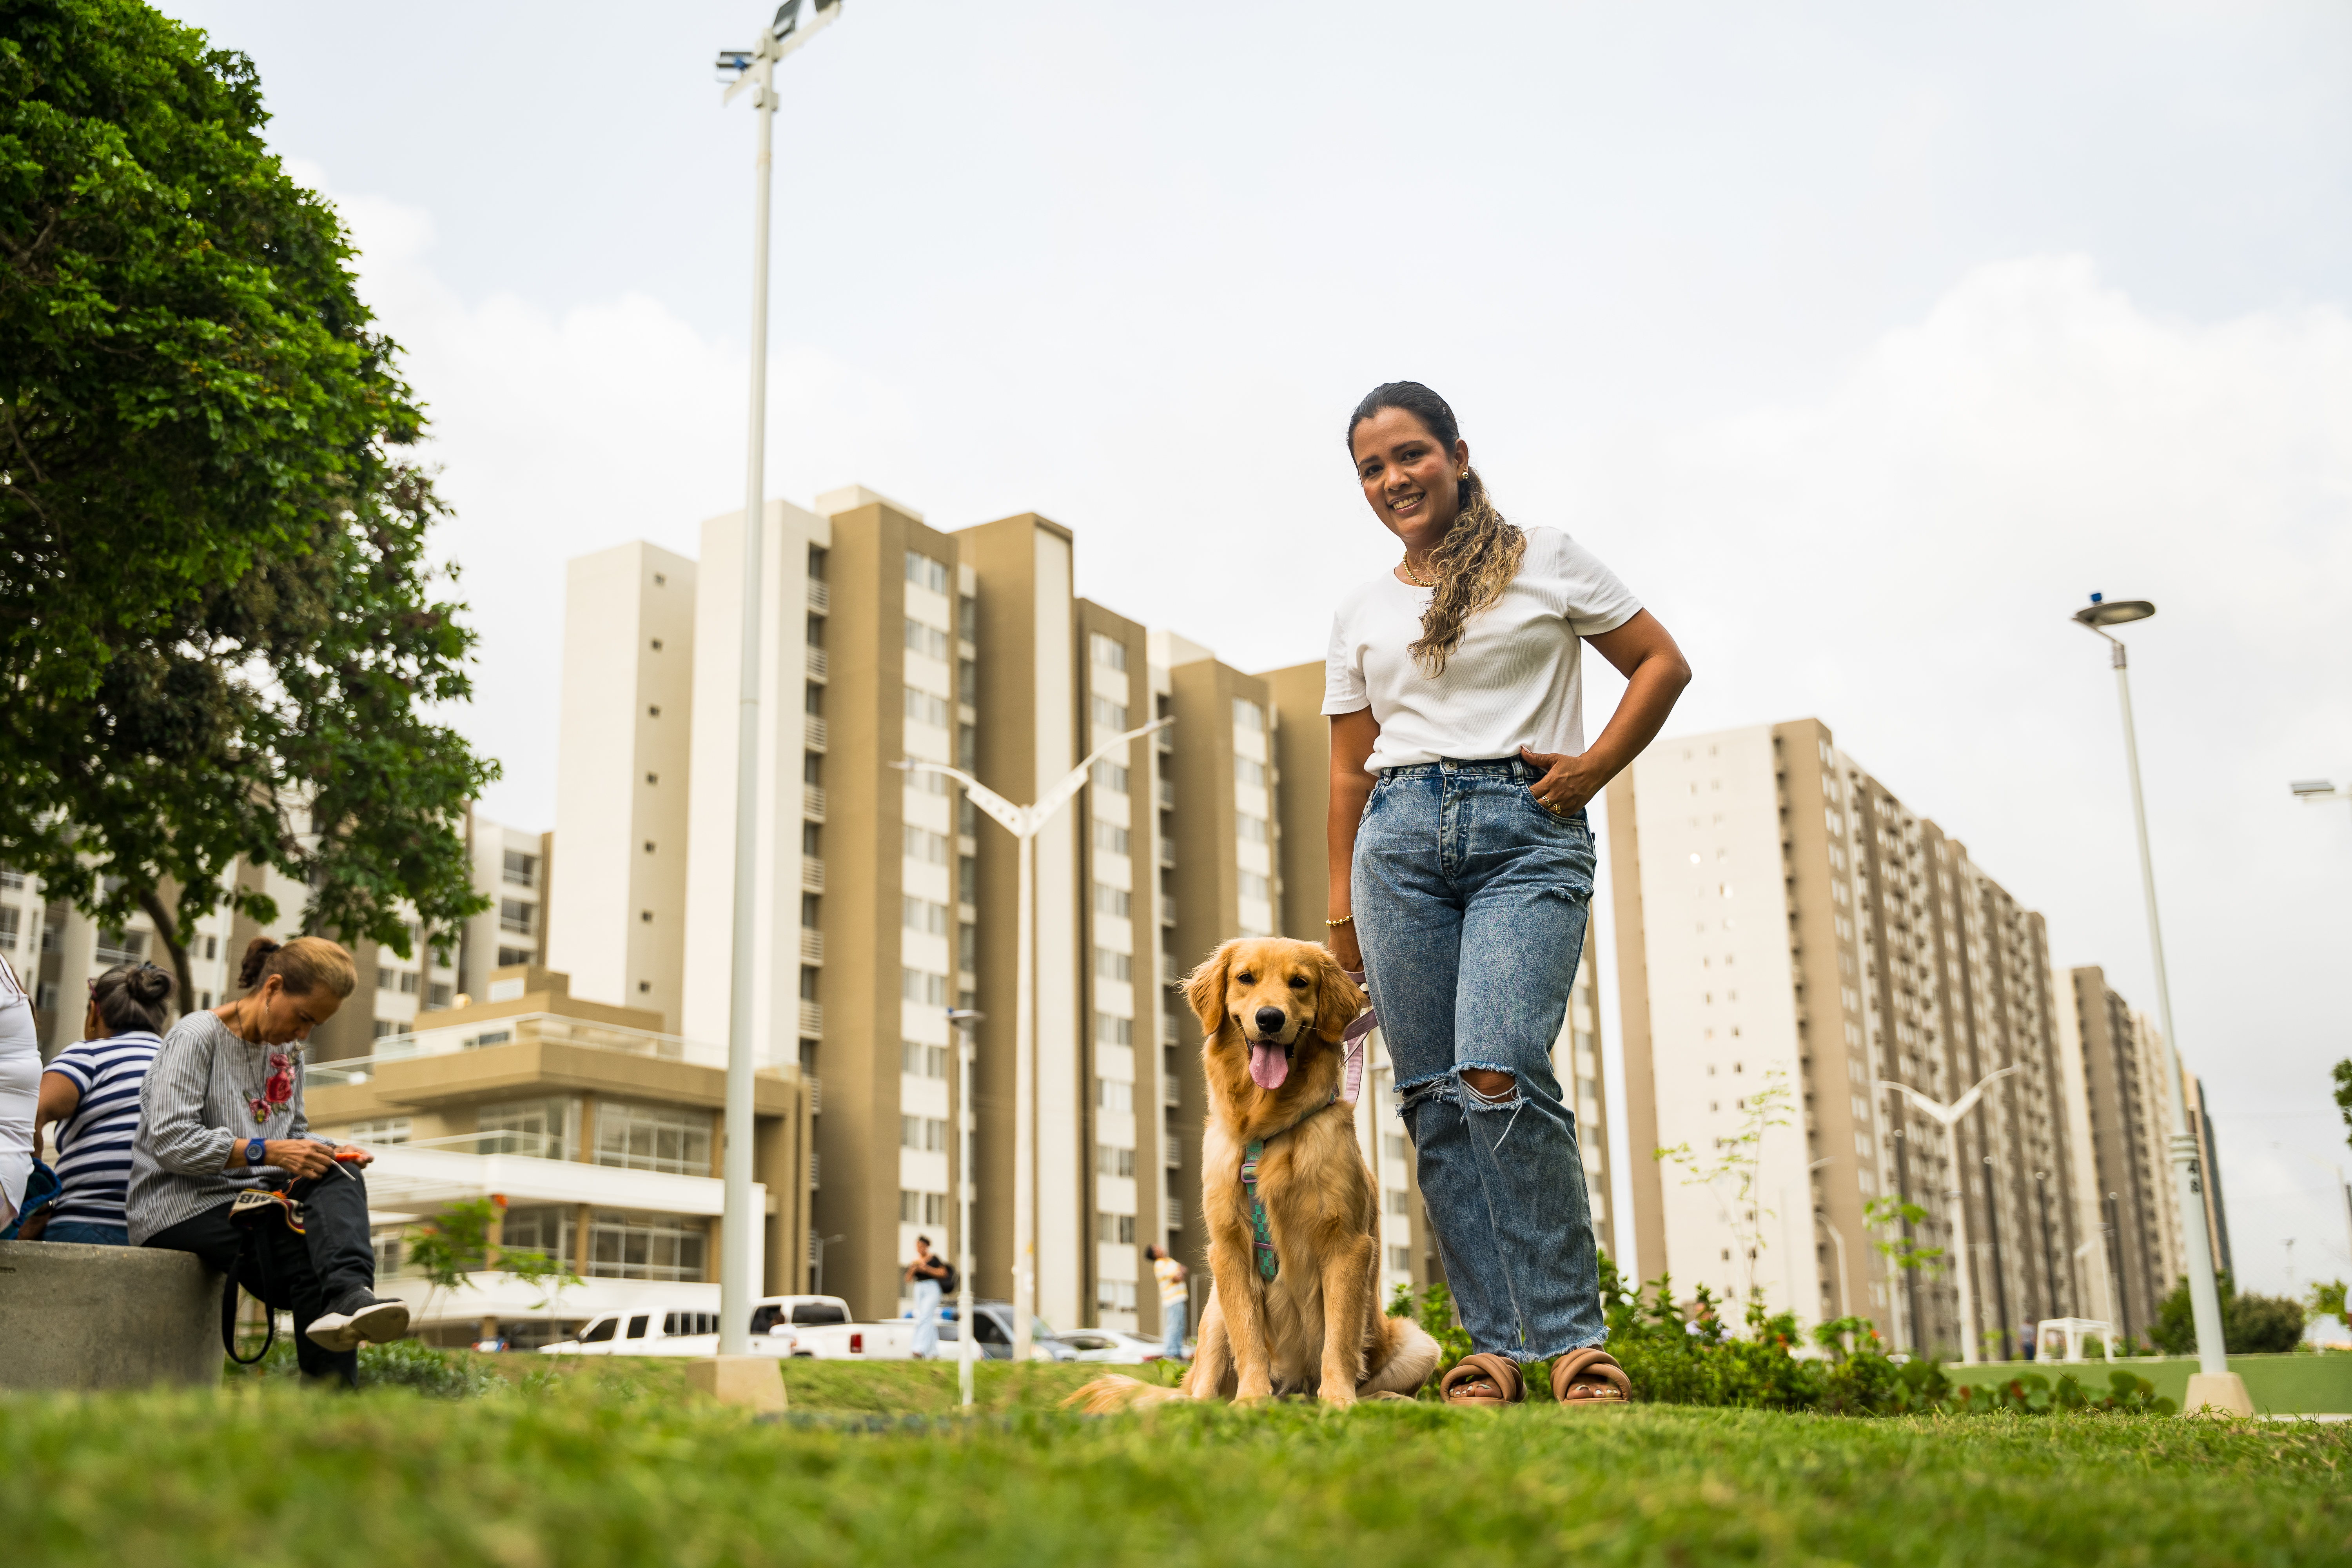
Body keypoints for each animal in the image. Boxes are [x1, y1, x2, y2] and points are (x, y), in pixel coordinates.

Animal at [1073, 931, 1439, 1410]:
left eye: (1300, 982)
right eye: (1246, 978)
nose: (1269, 1018)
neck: (1269, 1130)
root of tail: (1297, 1392)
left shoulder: (1347, 1243)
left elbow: (1340, 1338)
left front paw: (1339, 1400)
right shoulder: (1228, 1246)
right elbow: (1248, 1335)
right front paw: (1250, 1400)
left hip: (1420, 1343)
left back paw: (1384, 1400)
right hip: (1211, 1312)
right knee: (1201, 1391)